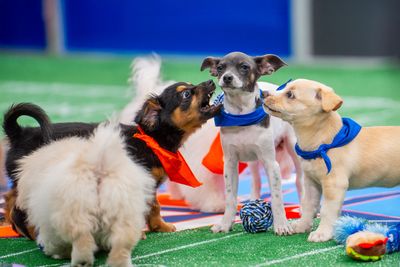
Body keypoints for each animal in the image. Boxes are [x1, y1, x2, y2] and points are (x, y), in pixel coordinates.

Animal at [3, 80, 222, 240]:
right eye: (186, 94)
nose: (211, 81)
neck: (151, 140)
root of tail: (20, 133)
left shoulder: (148, 185)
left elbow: (153, 207)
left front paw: (159, 227)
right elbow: (146, 207)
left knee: (9, 199)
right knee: (20, 211)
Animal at [14, 123, 155, 267]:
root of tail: (98, 164)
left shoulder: (48, 223)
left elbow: (51, 240)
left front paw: (55, 252)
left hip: (74, 213)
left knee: (82, 239)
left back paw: (81, 261)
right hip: (123, 212)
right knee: (122, 242)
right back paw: (119, 262)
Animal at [262, 79, 400, 243]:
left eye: (290, 95)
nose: (263, 93)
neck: (323, 143)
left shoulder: (334, 186)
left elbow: (327, 211)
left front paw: (322, 233)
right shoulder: (311, 183)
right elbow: (307, 206)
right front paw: (302, 226)